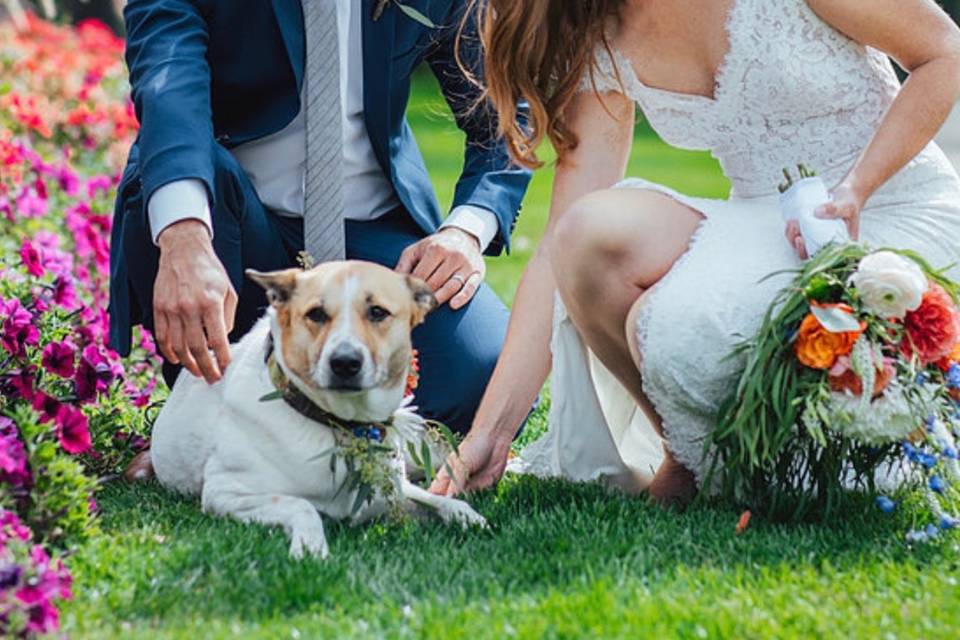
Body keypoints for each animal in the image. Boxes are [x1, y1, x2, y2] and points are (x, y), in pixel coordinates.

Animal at [139, 262, 484, 556]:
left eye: (377, 312)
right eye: (316, 314)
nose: (344, 363)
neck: (344, 424)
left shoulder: (394, 491)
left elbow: (434, 498)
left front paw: (465, 515)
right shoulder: (226, 492)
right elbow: (300, 505)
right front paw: (309, 547)